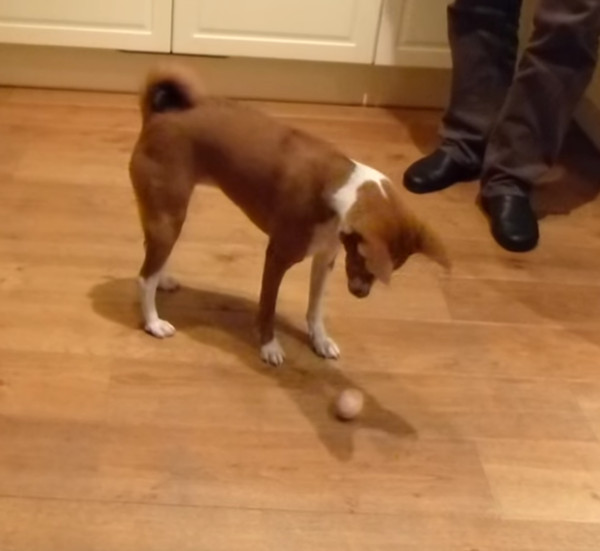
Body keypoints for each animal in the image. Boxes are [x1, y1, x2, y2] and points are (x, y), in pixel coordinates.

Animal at [129, 64, 449, 366]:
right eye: (368, 260)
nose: (361, 293)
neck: (337, 189)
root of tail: (158, 116)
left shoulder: (325, 258)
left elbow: (315, 308)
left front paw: (320, 340)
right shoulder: (277, 258)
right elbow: (268, 308)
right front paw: (269, 346)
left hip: (166, 215)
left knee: (152, 255)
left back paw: (164, 280)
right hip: (170, 216)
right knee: (144, 277)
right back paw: (153, 322)